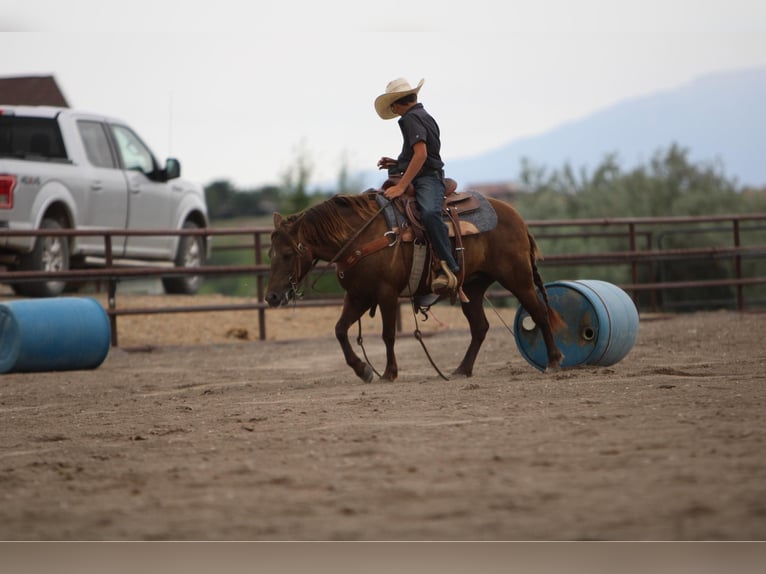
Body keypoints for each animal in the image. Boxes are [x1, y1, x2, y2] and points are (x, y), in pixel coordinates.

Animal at [268, 191, 568, 384]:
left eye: (288, 253)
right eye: (270, 253)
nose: (271, 297)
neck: (360, 236)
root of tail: (517, 218)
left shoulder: (386, 293)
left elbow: (388, 334)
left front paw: (389, 372)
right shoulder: (357, 295)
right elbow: (340, 330)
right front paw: (363, 369)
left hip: (517, 278)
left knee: (539, 313)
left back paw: (553, 361)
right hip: (473, 287)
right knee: (480, 327)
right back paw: (461, 369)